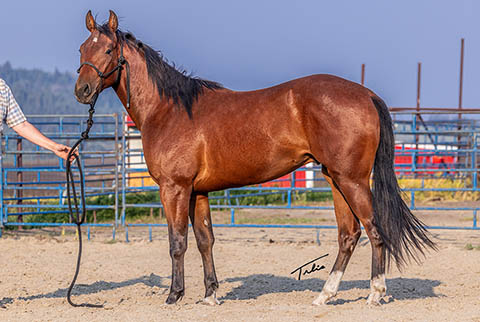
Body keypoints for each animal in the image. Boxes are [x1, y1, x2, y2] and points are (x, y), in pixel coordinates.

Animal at [74, 10, 436, 306]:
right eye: (81, 49)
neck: (170, 110)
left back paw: (375, 294)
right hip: (336, 179)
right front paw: (210, 294)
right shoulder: (197, 192)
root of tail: (367, 94)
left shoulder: (174, 189)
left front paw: (174, 295)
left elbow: (177, 242)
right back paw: (325, 295)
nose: (83, 91)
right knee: (349, 235)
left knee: (374, 231)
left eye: (108, 50)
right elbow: (205, 241)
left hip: (353, 181)